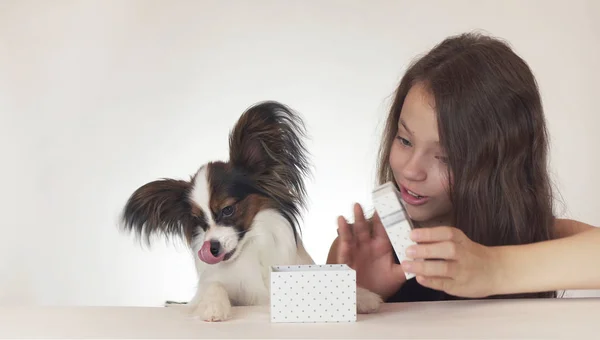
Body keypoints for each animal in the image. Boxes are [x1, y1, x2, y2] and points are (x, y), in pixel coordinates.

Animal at [120, 100, 382, 322]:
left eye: (228, 209)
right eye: (199, 221)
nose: (211, 248)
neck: (251, 248)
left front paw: (364, 297)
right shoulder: (214, 287)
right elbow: (213, 286)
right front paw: (213, 307)